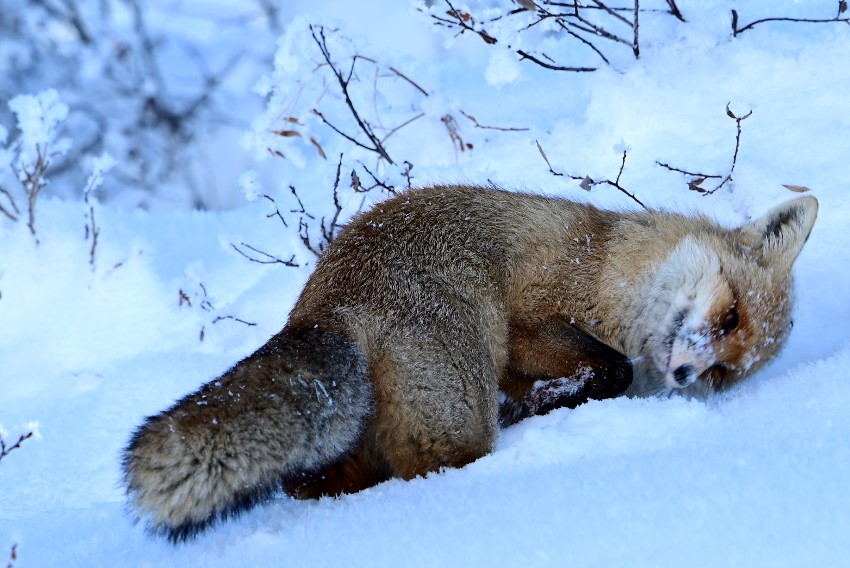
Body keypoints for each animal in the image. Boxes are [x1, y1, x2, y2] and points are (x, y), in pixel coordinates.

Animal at [122, 184, 820, 540]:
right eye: (729, 318)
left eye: (725, 372)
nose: (686, 375)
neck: (613, 272)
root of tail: (325, 303)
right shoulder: (532, 312)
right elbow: (610, 366)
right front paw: (555, 399)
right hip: (460, 411)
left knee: (318, 480)